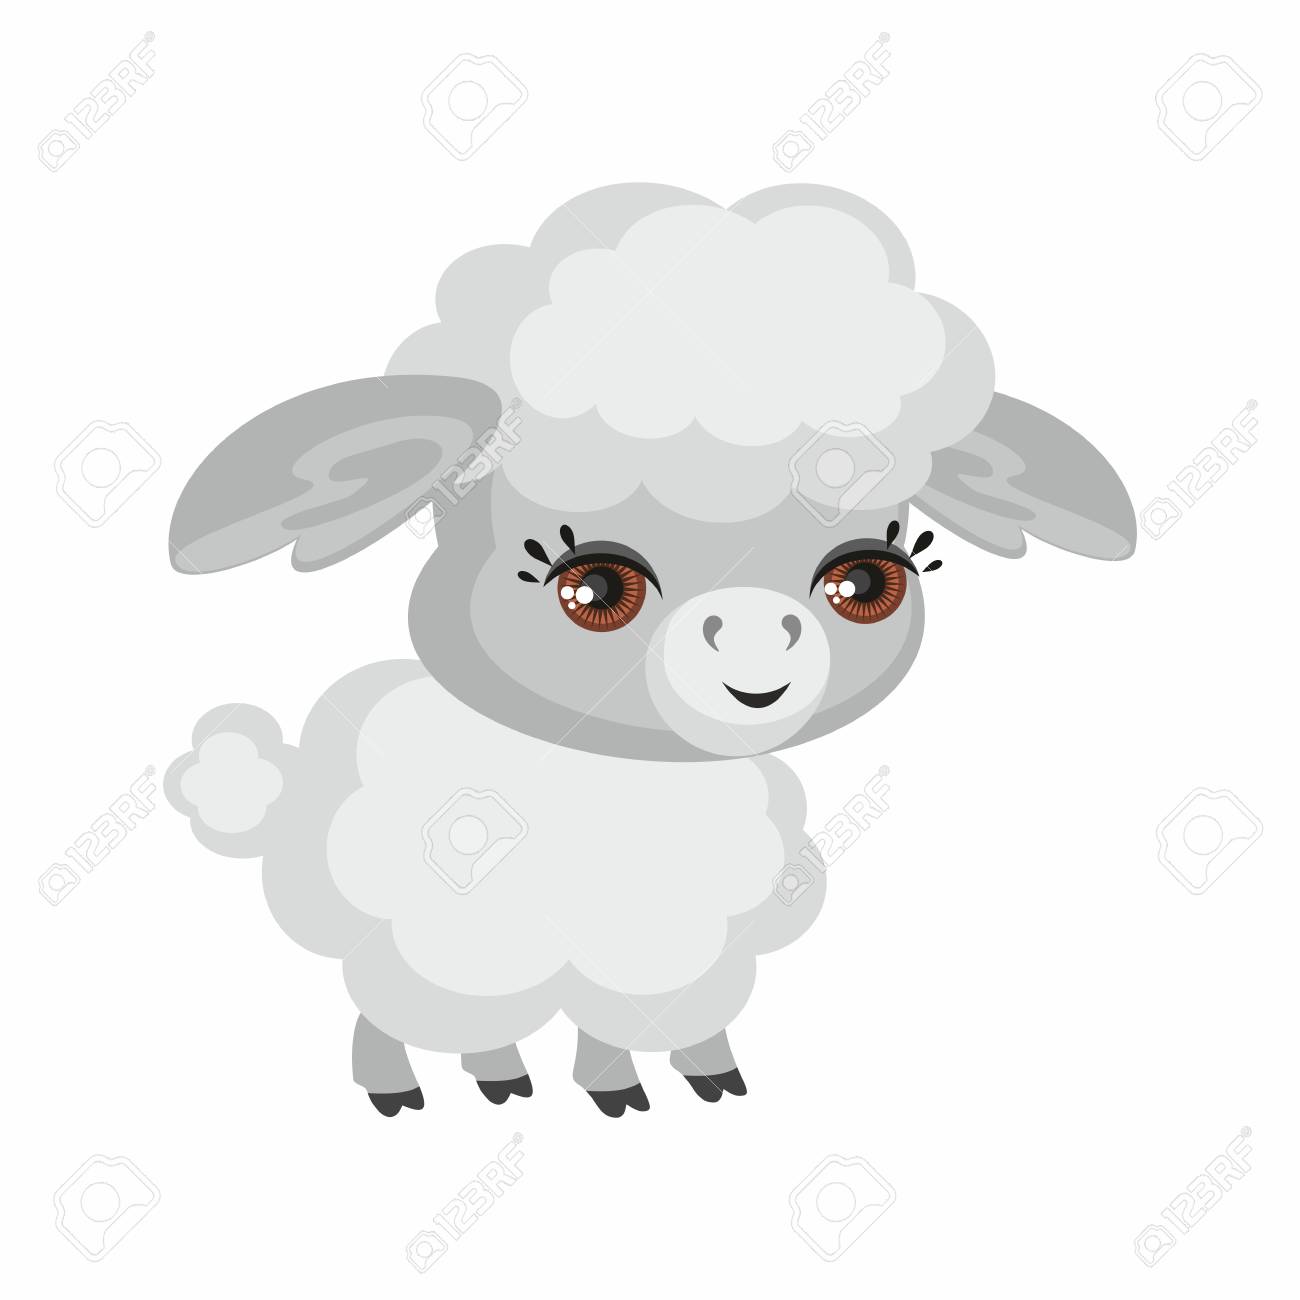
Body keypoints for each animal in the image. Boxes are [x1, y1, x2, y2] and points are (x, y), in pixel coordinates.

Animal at [165, 183, 1136, 1117]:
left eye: (868, 580)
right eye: (594, 589)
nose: (755, 641)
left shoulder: (680, 946)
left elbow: (665, 1024)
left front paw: (705, 1079)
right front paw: (619, 1095)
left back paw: (500, 1077)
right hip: (421, 937)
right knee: (392, 1016)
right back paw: (400, 1091)